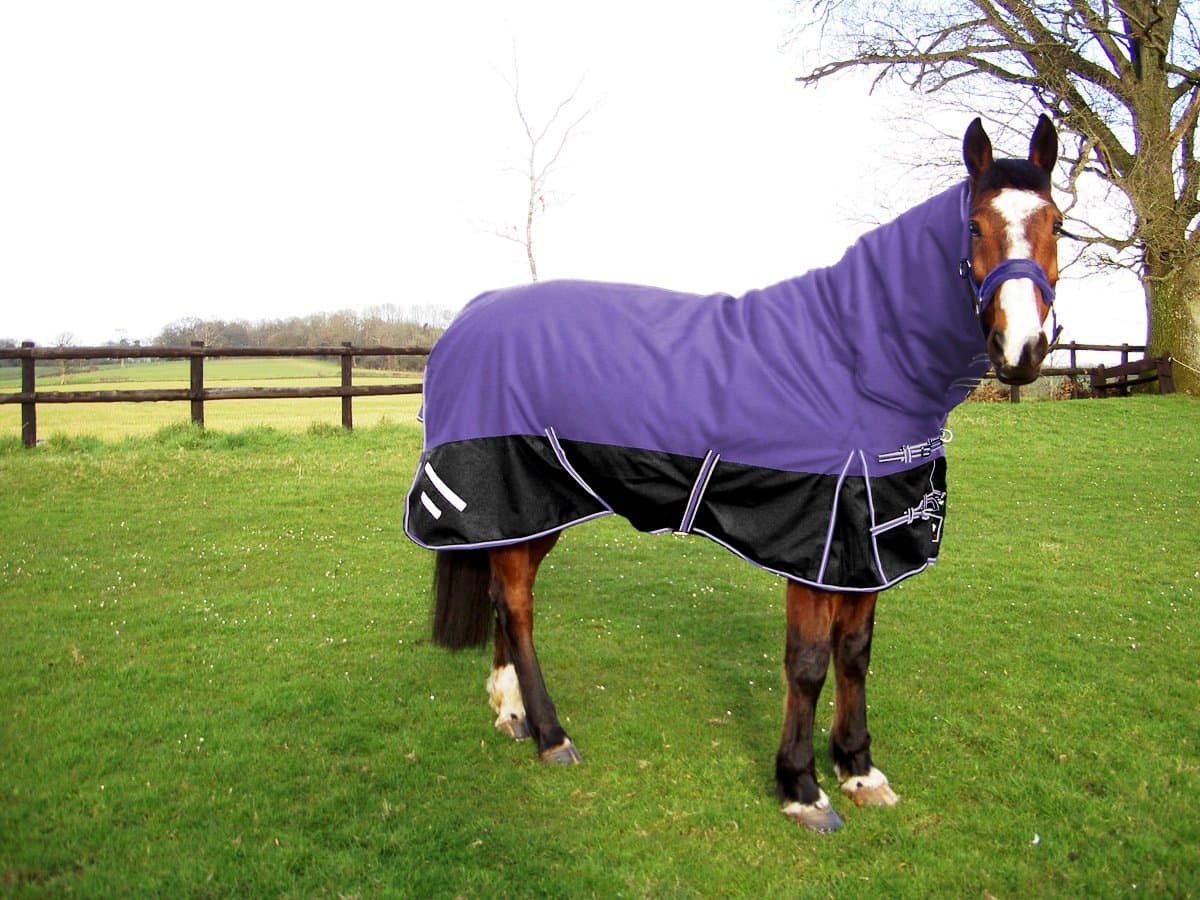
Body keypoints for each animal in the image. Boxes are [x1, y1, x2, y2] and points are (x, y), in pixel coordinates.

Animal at [405, 116, 1062, 832]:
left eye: (1058, 222)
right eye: (974, 225)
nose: (1023, 349)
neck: (854, 358)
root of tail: (469, 316)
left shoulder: (870, 548)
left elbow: (855, 654)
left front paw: (859, 770)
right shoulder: (818, 547)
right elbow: (808, 663)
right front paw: (802, 788)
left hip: (534, 509)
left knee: (506, 596)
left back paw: (511, 710)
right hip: (514, 498)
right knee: (517, 606)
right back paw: (552, 735)